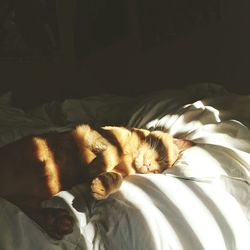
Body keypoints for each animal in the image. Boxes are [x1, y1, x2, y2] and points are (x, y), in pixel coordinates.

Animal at [0, 124, 193, 239]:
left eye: (158, 171)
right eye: (161, 157)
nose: (150, 167)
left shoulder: (119, 172)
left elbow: (116, 178)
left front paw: (101, 186)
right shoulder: (89, 132)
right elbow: (112, 150)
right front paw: (97, 166)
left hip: (28, 200)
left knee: (33, 212)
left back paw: (57, 223)